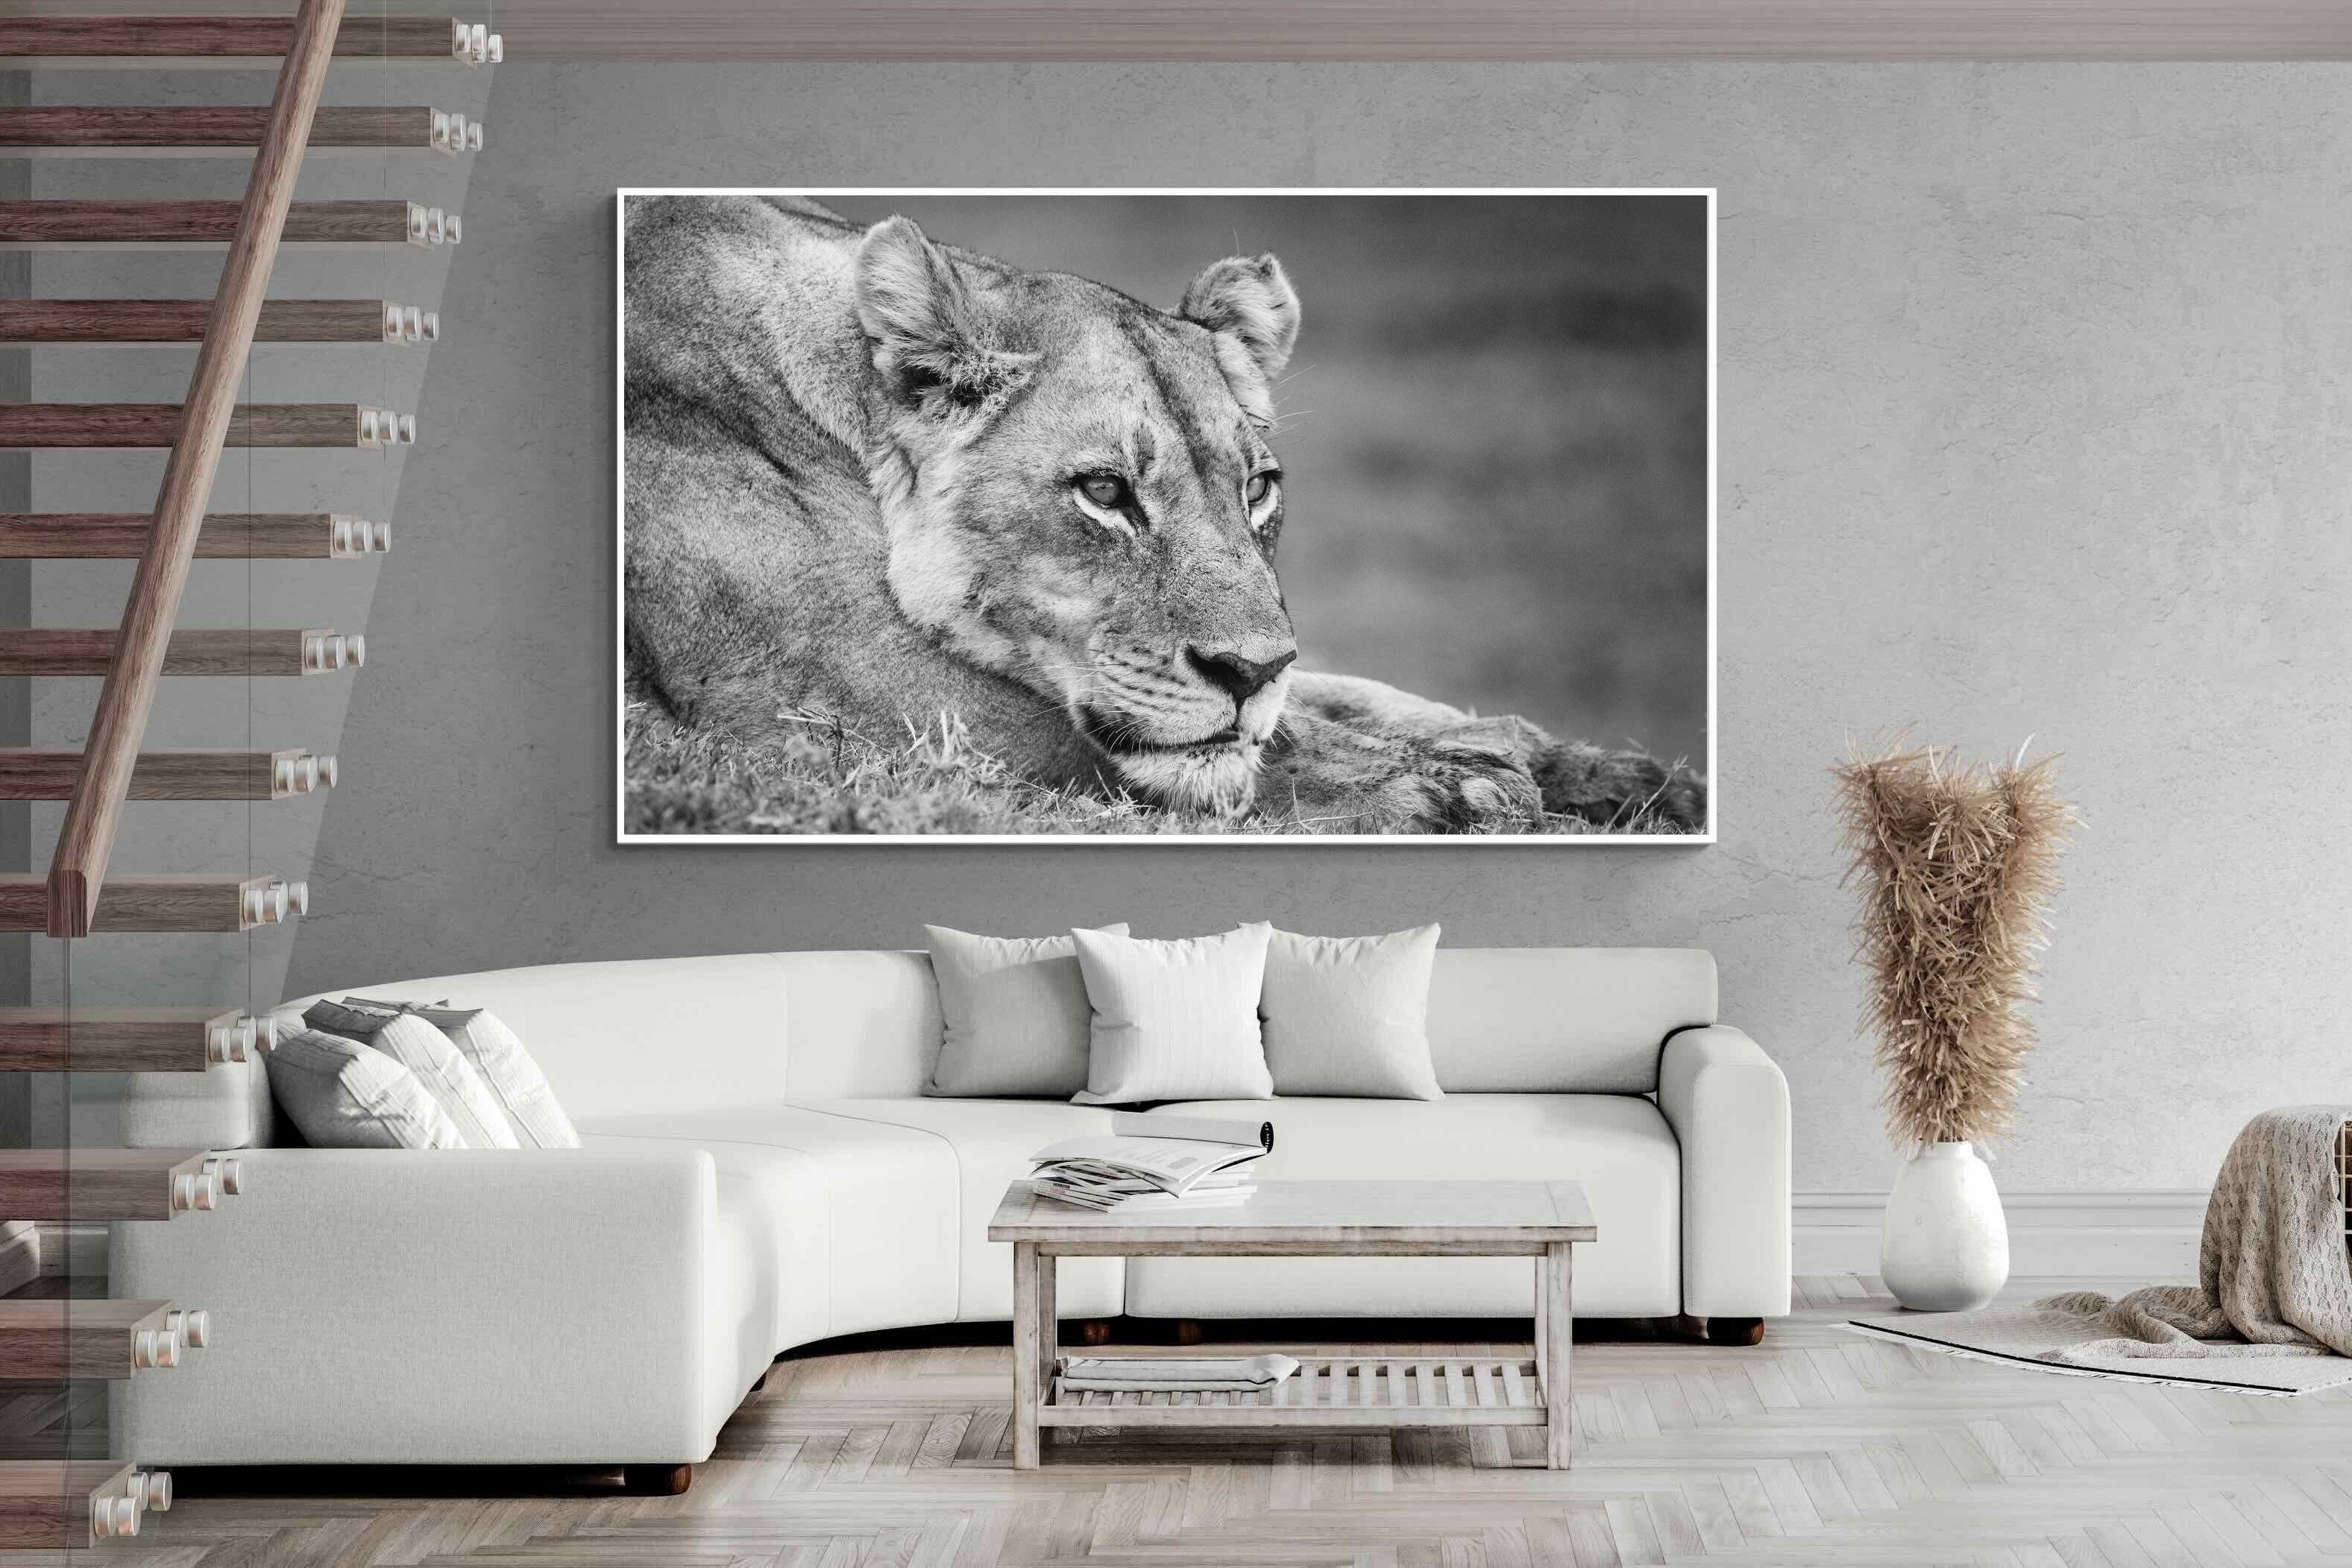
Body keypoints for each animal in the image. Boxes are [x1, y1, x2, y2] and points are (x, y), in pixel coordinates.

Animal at [623, 194, 1705, 834]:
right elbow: (1219, 752)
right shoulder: (840, 700)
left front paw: (1605, 769)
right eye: (1105, 492)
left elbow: (1343, 698)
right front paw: (1454, 787)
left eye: (1256, 487)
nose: (1247, 671)